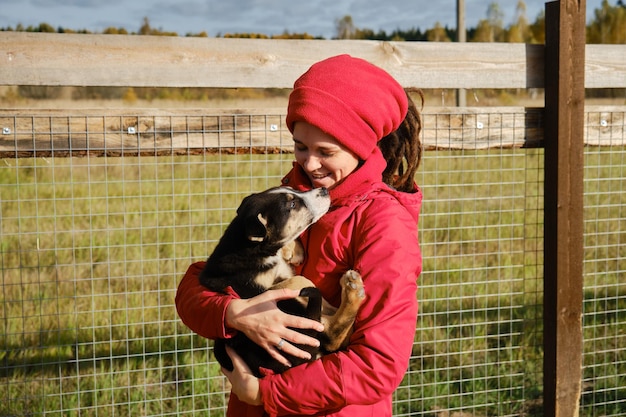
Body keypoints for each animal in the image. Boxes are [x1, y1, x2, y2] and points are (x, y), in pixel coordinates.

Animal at [200, 187, 364, 376]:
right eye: (292, 204)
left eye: (293, 190)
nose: (323, 190)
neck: (251, 248)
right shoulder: (252, 288)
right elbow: (297, 280)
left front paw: (293, 251)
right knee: (331, 336)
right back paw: (353, 290)